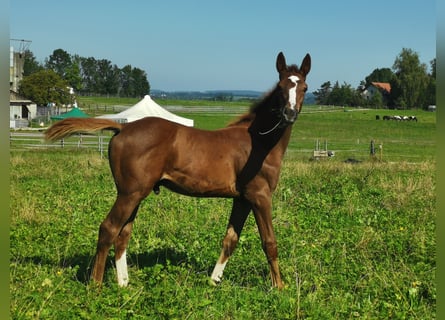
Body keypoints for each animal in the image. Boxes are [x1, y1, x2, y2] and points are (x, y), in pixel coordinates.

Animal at [44, 51, 308, 288]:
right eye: (281, 87)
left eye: (304, 87)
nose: (289, 114)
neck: (258, 143)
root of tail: (122, 128)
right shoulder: (260, 196)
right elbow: (269, 242)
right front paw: (279, 287)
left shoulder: (242, 199)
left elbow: (230, 240)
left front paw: (213, 282)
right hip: (130, 194)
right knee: (108, 229)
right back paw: (96, 285)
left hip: (134, 194)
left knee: (123, 235)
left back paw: (123, 284)